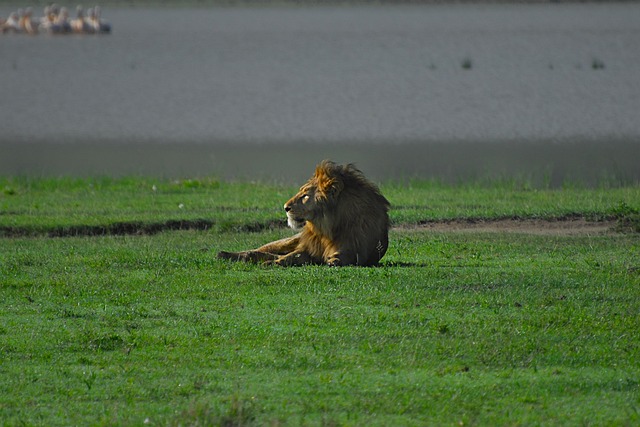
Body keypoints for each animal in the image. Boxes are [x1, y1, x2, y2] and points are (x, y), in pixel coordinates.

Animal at [218, 160, 390, 268]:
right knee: (258, 250)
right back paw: (224, 254)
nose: (285, 207)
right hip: (288, 240)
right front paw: (273, 263)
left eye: (305, 196)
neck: (327, 228)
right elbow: (290, 257)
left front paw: (334, 260)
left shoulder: (357, 248)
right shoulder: (308, 248)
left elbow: (345, 255)